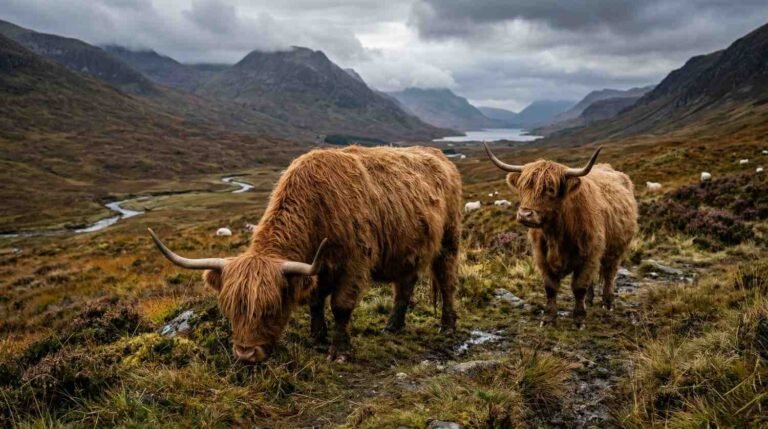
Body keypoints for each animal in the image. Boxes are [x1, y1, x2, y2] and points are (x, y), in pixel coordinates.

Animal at [149, 146, 462, 362]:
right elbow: (315, 301)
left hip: (449, 240)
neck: (318, 209)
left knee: (447, 280)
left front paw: (339, 351)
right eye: (231, 308)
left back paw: (447, 326)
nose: (246, 355)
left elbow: (340, 306)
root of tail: (439, 155)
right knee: (404, 286)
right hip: (407, 251)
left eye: (271, 307)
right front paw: (317, 336)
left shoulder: (355, 263)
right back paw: (393, 327)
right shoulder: (316, 268)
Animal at [483, 143, 637, 327]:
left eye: (550, 189)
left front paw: (578, 319)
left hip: (616, 250)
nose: (525, 214)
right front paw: (548, 318)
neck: (556, 235)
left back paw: (607, 303)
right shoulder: (541, 256)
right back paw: (590, 300)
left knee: (609, 274)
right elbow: (550, 287)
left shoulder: (589, 254)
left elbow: (579, 286)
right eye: (523, 187)